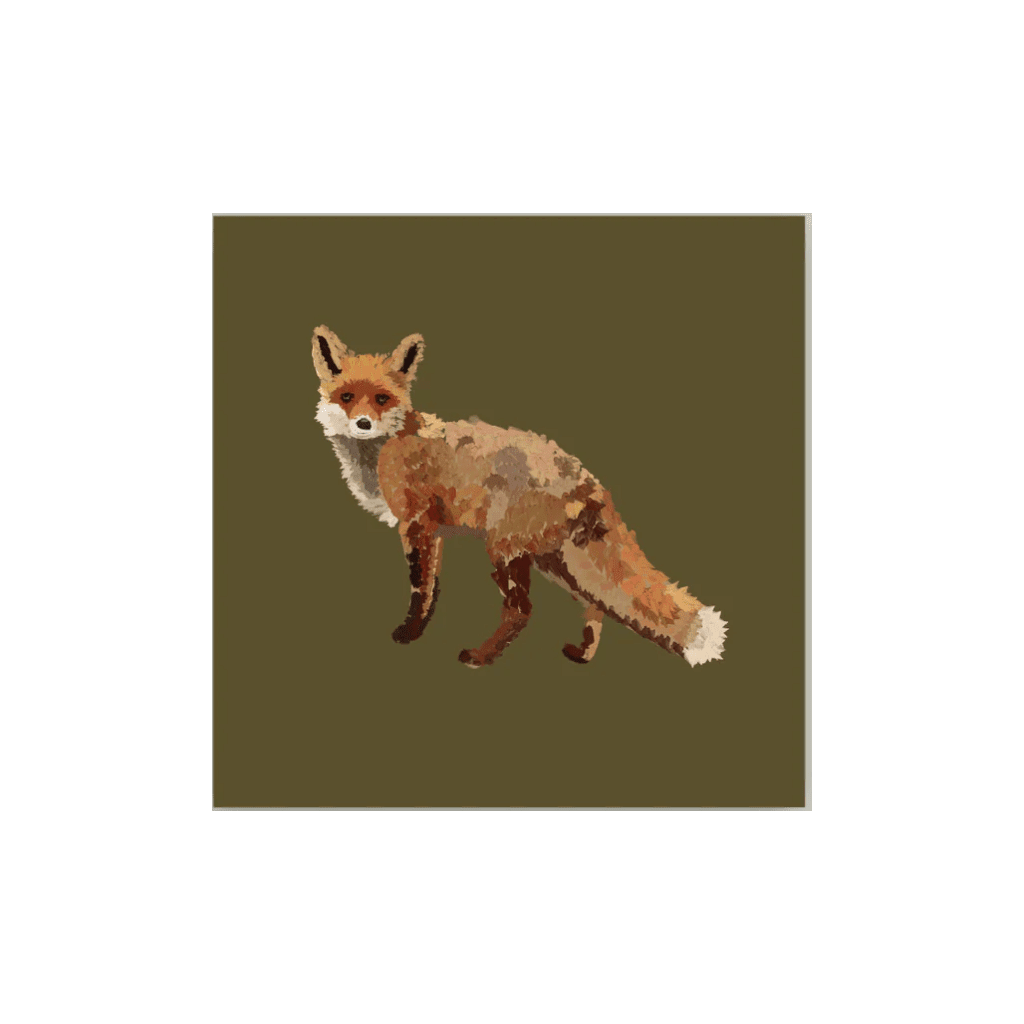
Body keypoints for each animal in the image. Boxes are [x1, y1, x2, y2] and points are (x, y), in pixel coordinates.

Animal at [311, 325, 727, 669]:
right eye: (346, 396)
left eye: (382, 399)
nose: (363, 423)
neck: (384, 448)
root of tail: (588, 478)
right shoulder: (433, 531)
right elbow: (433, 588)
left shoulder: (418, 524)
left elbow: (421, 589)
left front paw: (410, 634)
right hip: (552, 560)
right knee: (595, 605)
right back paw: (582, 655)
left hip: (505, 550)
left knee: (521, 610)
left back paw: (480, 658)